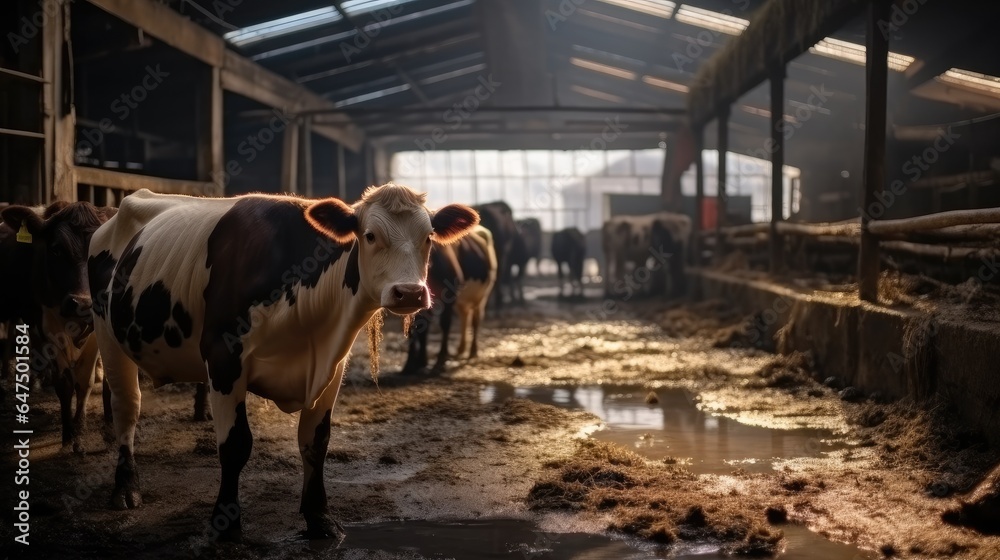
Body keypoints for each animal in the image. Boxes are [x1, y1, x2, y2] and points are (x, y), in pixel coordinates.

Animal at [1, 199, 115, 452]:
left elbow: (84, 380)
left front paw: (80, 431)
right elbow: (64, 383)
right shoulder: (43, 324)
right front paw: (68, 436)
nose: (82, 303)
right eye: (55, 249)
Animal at [86, 184, 476, 544]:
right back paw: (125, 487)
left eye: (428, 238)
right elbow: (235, 445)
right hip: (107, 331)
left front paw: (320, 518)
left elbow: (316, 442)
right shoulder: (224, 356)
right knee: (127, 407)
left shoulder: (332, 367)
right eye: (370, 235)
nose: (410, 293)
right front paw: (226, 526)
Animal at [404, 224, 498, 376]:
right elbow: (417, 327)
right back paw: (460, 349)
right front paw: (413, 363)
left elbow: (445, 323)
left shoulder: (450, 294)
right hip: (462, 300)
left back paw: (472, 352)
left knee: (475, 319)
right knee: (464, 315)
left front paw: (440, 361)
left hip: (482, 295)